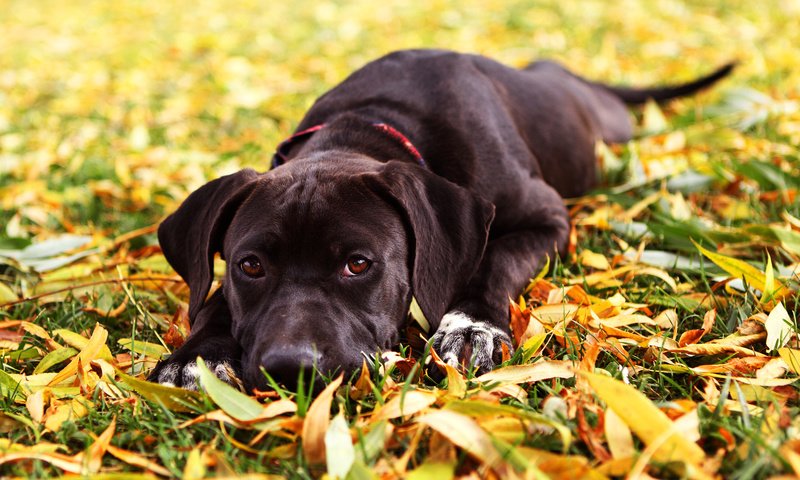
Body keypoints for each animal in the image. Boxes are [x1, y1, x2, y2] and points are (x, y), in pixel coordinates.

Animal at [148, 48, 732, 390]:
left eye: (358, 264)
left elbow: (493, 259)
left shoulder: (547, 217)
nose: (291, 368)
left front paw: (470, 324)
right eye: (250, 266)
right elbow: (213, 301)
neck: (369, 124)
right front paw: (194, 358)